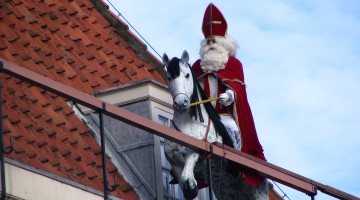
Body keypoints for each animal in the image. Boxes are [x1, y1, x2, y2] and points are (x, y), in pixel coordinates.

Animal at [162, 50, 268, 199]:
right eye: (169, 77)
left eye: (187, 75)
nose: (181, 102)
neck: (189, 125)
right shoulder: (175, 162)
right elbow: (186, 186)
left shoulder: (199, 150)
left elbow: (187, 174)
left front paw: (226, 97)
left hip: (257, 191)